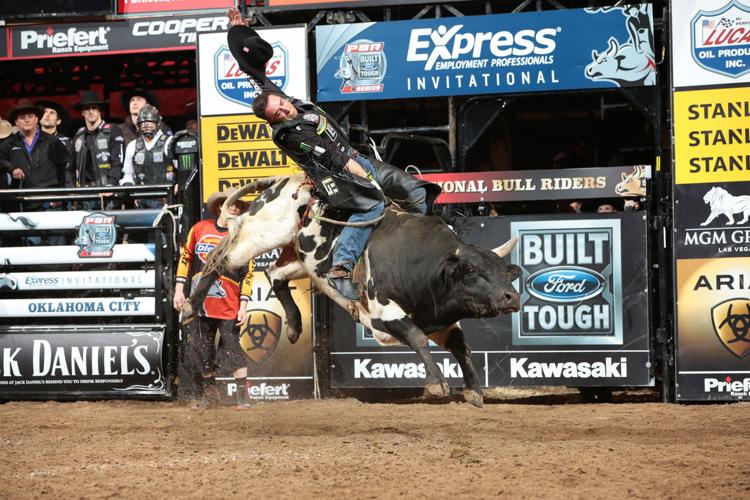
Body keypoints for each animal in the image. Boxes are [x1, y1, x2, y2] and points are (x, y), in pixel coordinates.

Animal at [182, 173, 521, 407]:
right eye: (472, 271)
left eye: (506, 273)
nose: (511, 297)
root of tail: (286, 180)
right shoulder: (384, 312)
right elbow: (417, 337)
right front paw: (437, 384)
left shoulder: (438, 318)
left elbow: (461, 346)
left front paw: (474, 391)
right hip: (260, 235)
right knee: (220, 261)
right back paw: (188, 306)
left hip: (304, 260)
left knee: (274, 274)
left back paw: (293, 325)